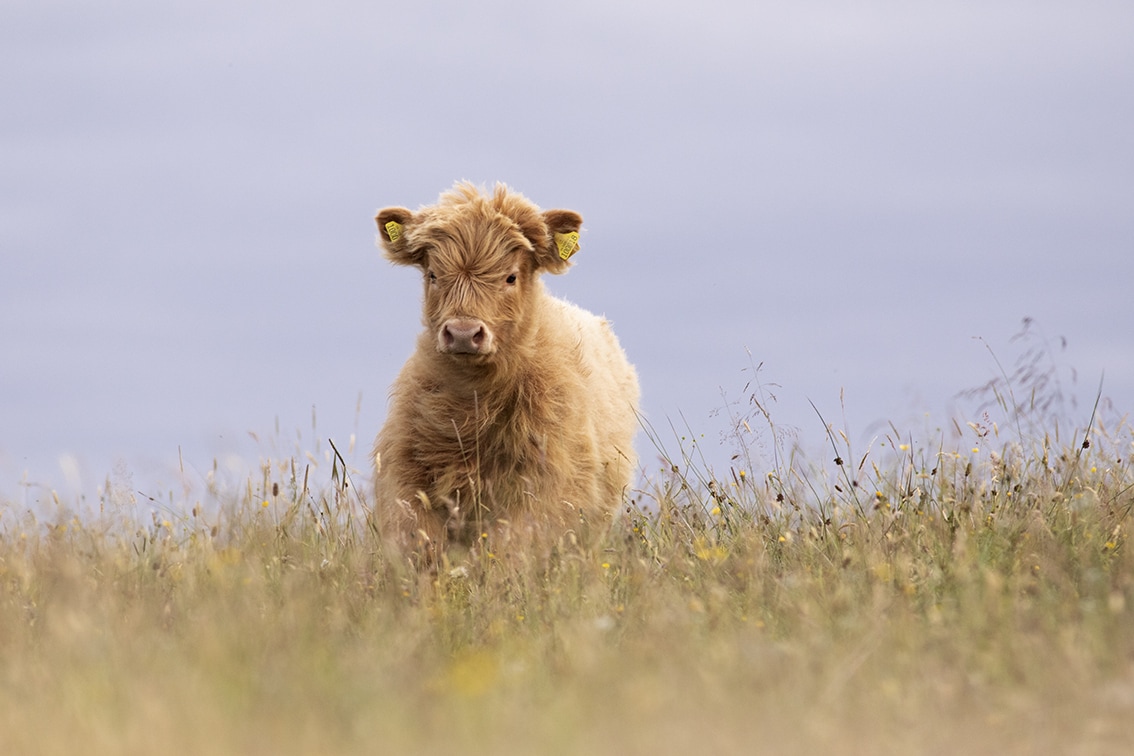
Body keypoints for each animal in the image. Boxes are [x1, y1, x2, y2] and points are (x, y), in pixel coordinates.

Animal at [371, 181, 639, 562]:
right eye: (433, 274)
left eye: (510, 276)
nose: (463, 332)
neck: (472, 406)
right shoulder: (403, 467)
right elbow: (418, 539)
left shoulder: (548, 480)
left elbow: (509, 545)